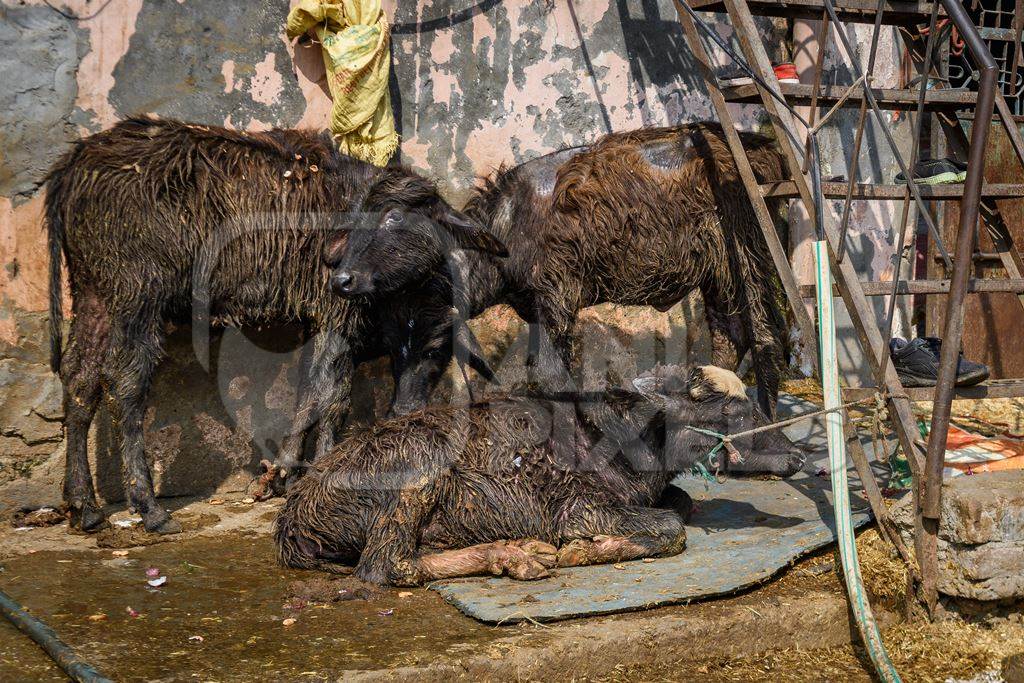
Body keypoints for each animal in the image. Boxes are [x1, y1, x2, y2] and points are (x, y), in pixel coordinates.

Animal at [274, 366, 798, 585]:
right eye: (733, 409)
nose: (796, 458)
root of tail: (293, 517)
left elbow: (681, 502)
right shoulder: (579, 509)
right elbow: (671, 526)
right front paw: (582, 551)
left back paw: (519, 552)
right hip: (415, 472)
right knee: (385, 566)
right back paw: (518, 556)